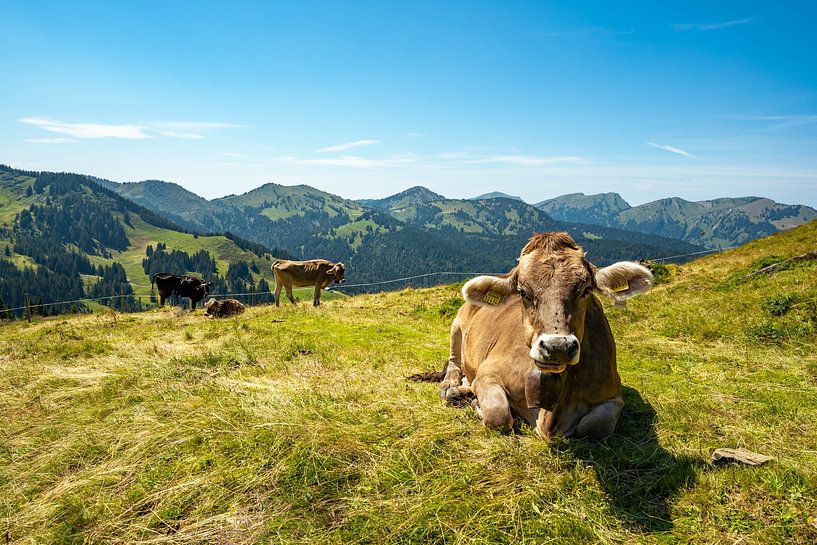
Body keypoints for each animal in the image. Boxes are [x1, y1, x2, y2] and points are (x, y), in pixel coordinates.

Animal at [438, 232, 653, 439]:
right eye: (522, 292)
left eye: (586, 290)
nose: (558, 347)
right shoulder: (488, 373)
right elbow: (497, 416)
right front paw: (477, 405)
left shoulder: (614, 395)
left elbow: (596, 426)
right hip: (456, 327)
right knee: (454, 363)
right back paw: (451, 386)